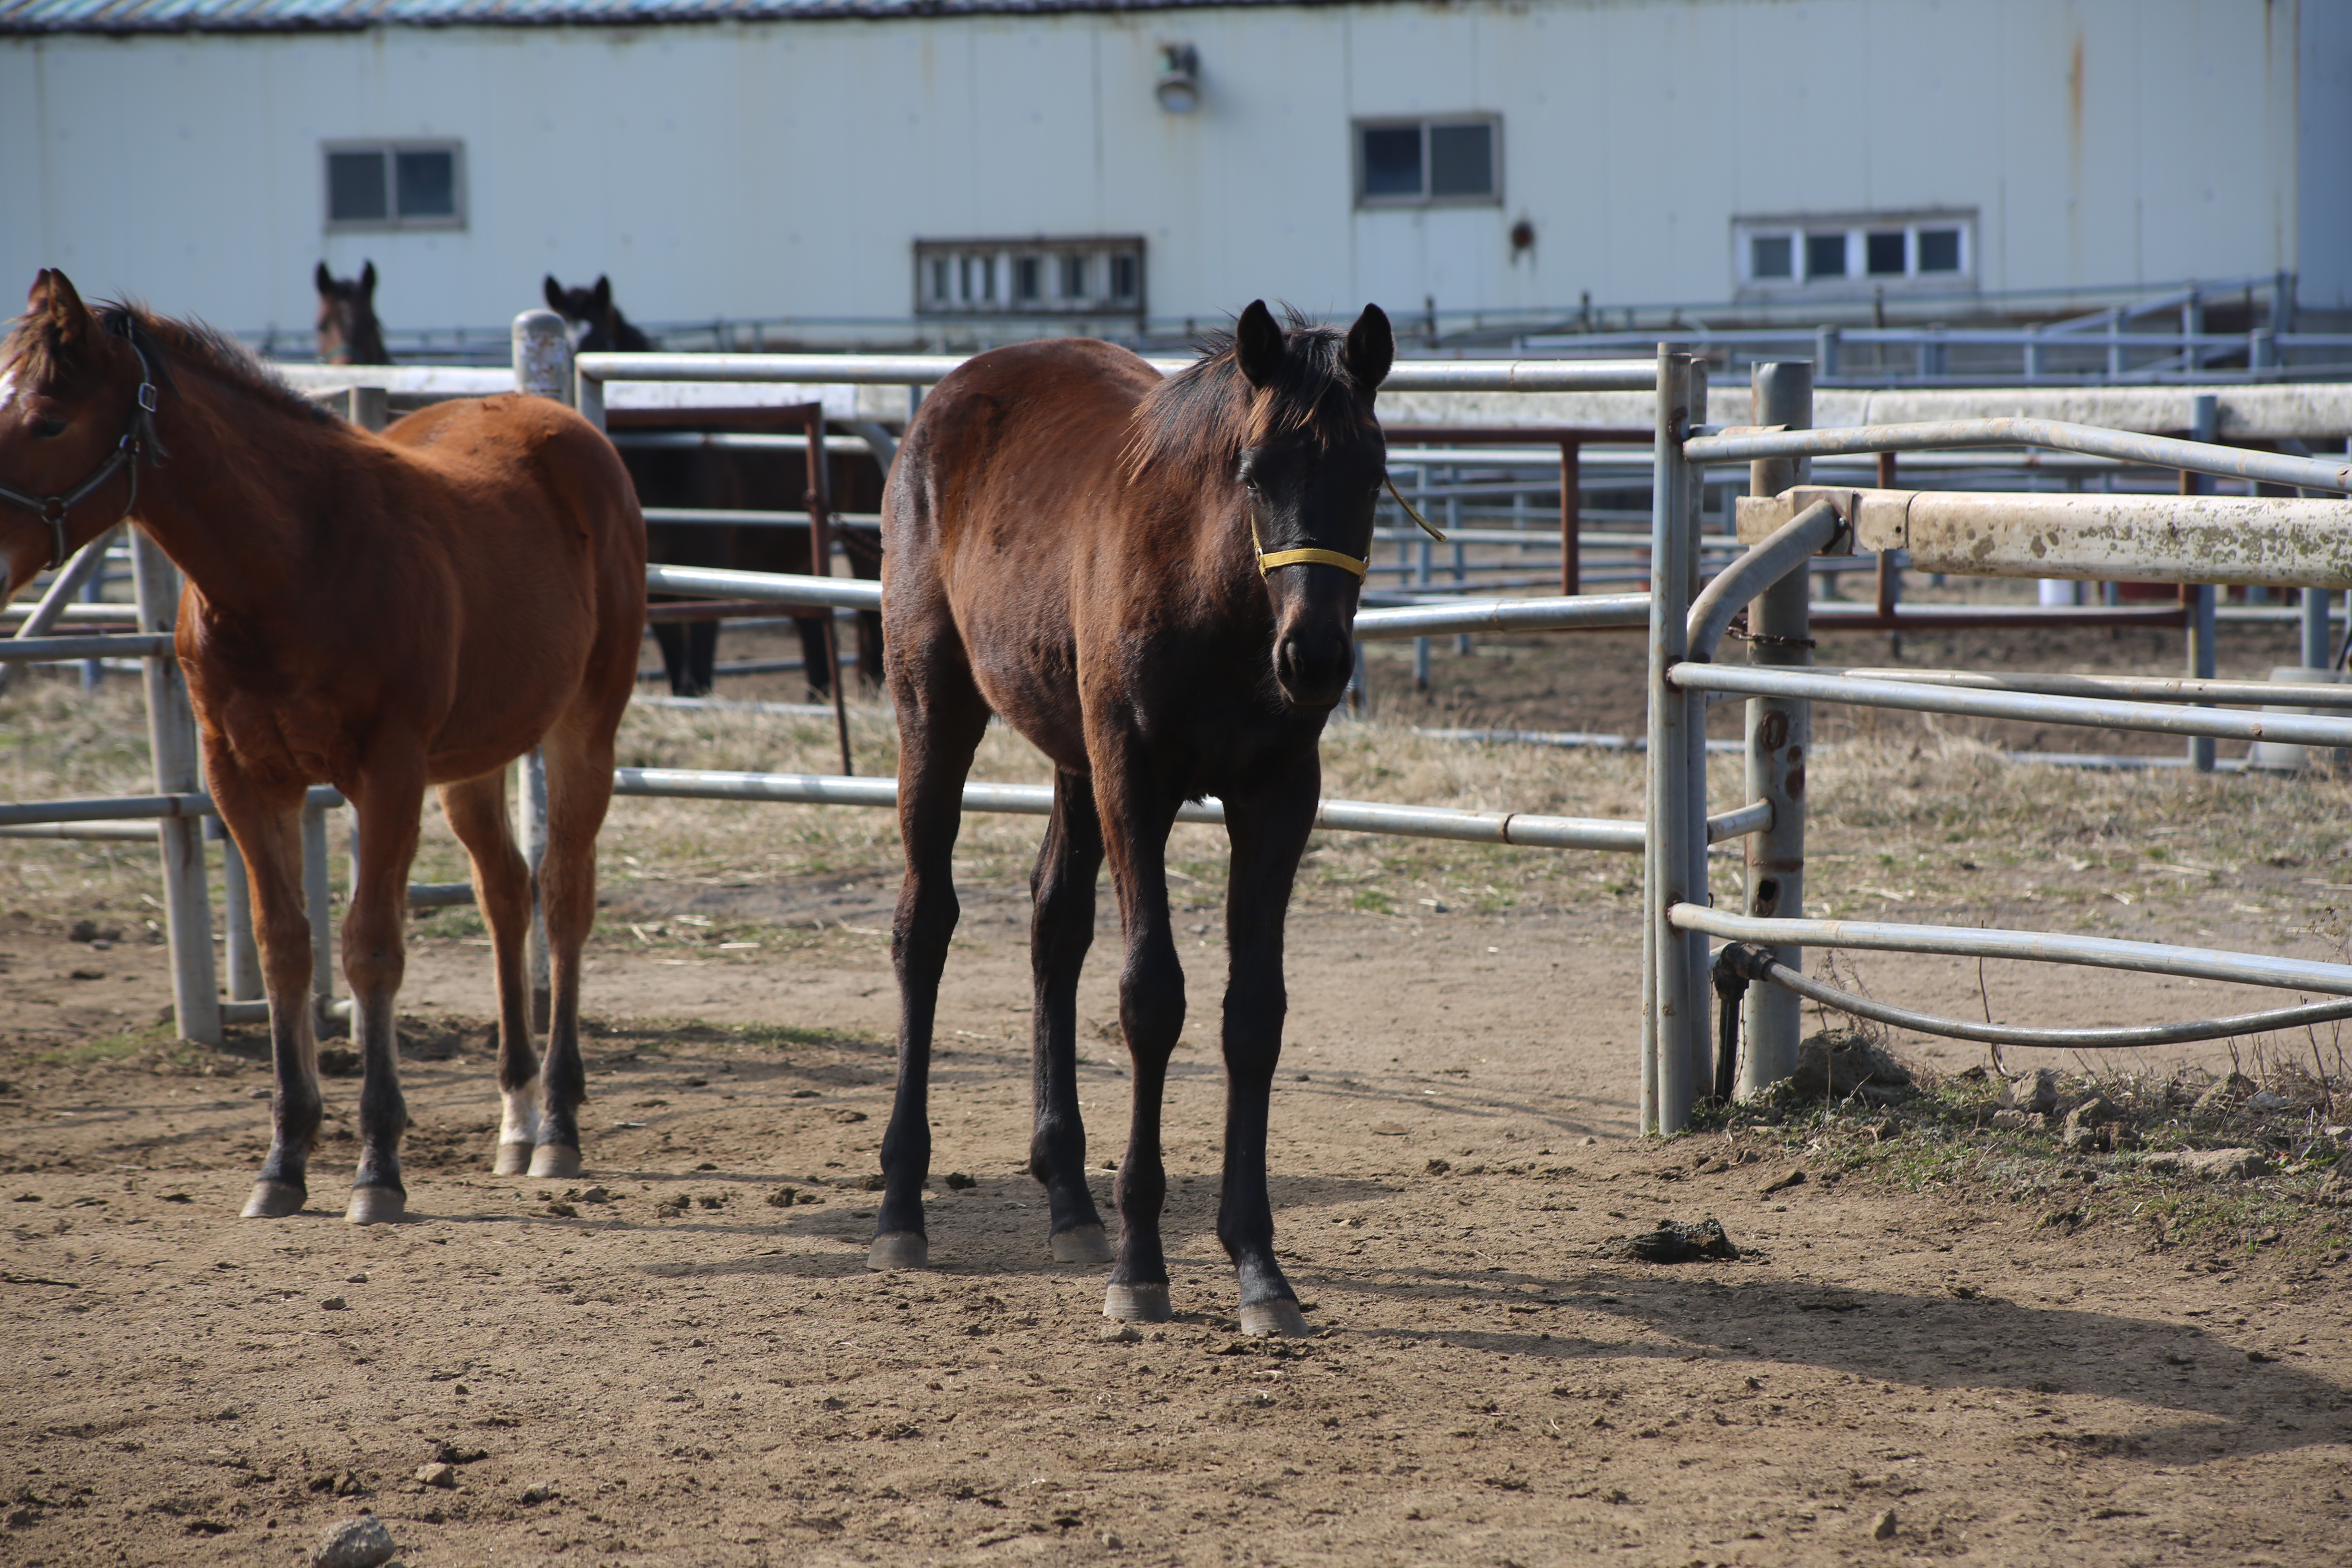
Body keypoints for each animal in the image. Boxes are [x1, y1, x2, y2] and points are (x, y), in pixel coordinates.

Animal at [541, 275, 884, 700]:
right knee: (811, 629)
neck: (669, 463)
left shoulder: (705, 583)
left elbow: (699, 677)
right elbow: (679, 681)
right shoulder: (656, 589)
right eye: (563, 343)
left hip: (863, 542)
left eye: (601, 341)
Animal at [870, 297, 1383, 1335]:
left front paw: (1258, 1266)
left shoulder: (1278, 797)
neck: (1217, 594)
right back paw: (902, 1203)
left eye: (1374, 473)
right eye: (1254, 470)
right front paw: (1142, 1262)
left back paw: (1068, 1198)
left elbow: (1252, 1014)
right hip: (935, 708)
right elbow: (1151, 999)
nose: (1312, 657)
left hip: (1071, 753)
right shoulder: (1134, 782)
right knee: (924, 924)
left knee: (1053, 927)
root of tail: (948, 395)